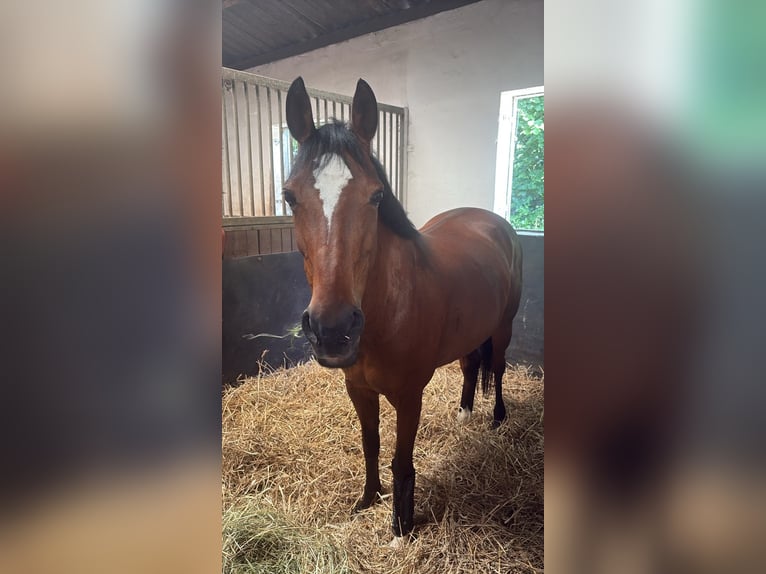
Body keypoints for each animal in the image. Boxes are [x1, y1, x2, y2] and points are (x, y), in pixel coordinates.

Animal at [284, 77, 523, 540]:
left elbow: (401, 461)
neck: (386, 311)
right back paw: (464, 414)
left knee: (498, 368)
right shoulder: (357, 389)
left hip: (504, 327)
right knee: (471, 365)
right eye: (289, 196)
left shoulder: (410, 396)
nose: (332, 329)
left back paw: (497, 419)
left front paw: (401, 528)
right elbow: (371, 445)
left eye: (377, 196)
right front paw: (367, 500)